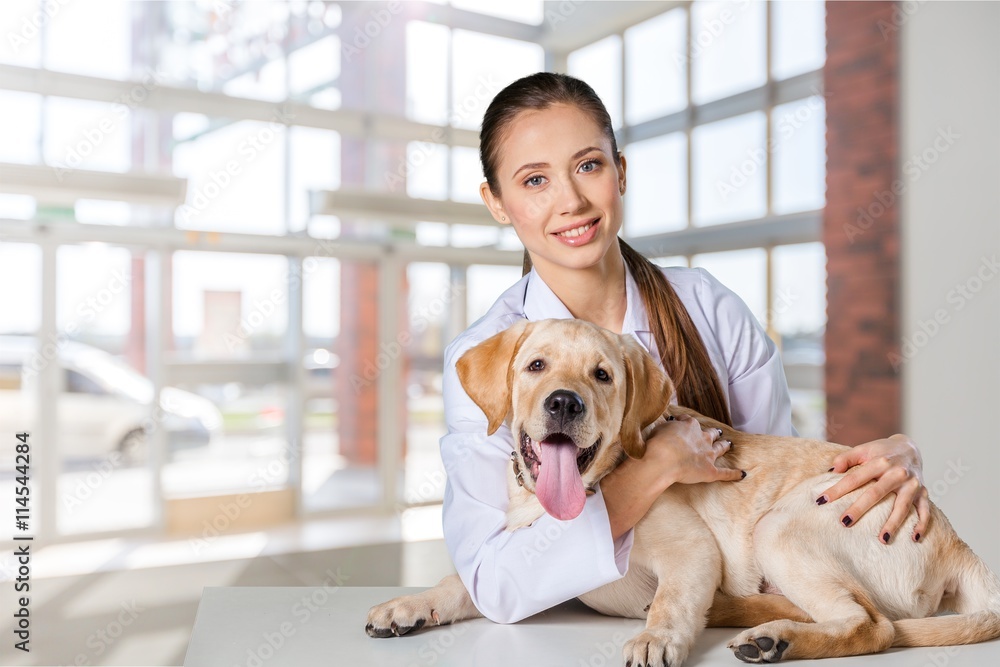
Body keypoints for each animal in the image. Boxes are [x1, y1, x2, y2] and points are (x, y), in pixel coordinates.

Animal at [368, 320, 1000, 664]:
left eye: (602, 375)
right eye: (536, 366)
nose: (564, 403)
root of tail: (958, 544)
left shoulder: (690, 551)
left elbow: (671, 599)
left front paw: (656, 638)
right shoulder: (512, 563)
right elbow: (461, 581)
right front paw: (408, 605)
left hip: (783, 525)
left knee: (875, 626)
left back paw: (774, 639)